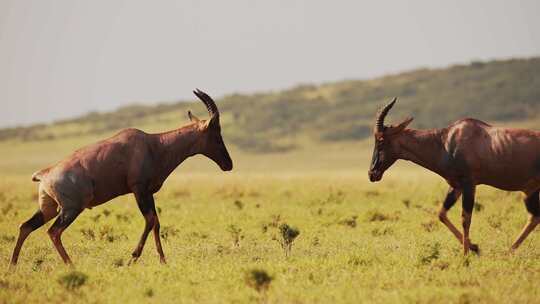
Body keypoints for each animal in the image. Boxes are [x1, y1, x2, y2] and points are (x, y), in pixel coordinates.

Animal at [8, 89, 232, 264]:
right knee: (53, 232)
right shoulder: (138, 190)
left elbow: (156, 223)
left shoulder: (148, 193)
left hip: (49, 208)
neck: (153, 145)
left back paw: (13, 266)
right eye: (216, 133)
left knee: (26, 226)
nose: (228, 164)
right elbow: (150, 220)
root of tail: (45, 174)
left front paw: (162, 260)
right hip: (71, 208)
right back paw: (70, 265)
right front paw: (133, 257)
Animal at [368, 98, 540, 255]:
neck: (446, 141)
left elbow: (465, 218)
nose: (372, 174)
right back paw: (509, 250)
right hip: (530, 190)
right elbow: (441, 214)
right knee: (534, 217)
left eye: (381, 139)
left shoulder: (469, 183)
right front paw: (474, 247)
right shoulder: (456, 185)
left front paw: (465, 255)